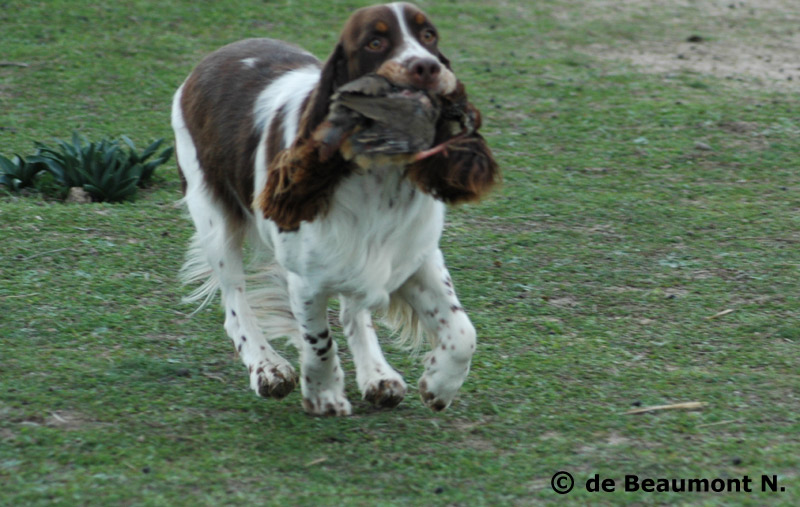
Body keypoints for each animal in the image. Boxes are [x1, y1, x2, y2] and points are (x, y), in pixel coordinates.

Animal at [172, 2, 496, 416]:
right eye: (375, 42)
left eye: (429, 35)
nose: (427, 67)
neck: (380, 176)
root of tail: (211, 59)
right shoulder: (306, 277)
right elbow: (318, 340)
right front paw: (323, 394)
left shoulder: (416, 255)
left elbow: (462, 331)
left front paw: (439, 385)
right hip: (213, 217)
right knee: (235, 301)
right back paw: (268, 368)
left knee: (352, 310)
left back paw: (378, 375)